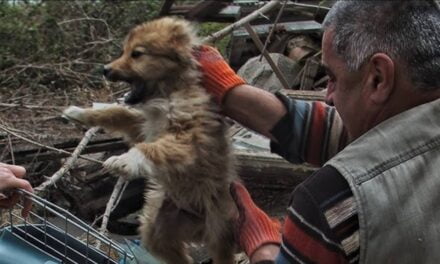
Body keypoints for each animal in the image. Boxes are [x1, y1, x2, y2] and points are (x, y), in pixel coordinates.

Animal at [62, 17, 237, 264]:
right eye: (124, 51)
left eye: (137, 54)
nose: (105, 70)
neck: (166, 94)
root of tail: (197, 229)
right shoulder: (143, 126)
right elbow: (117, 113)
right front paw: (81, 113)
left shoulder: (187, 138)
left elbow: (151, 147)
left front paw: (124, 161)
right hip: (156, 229)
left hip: (218, 230)